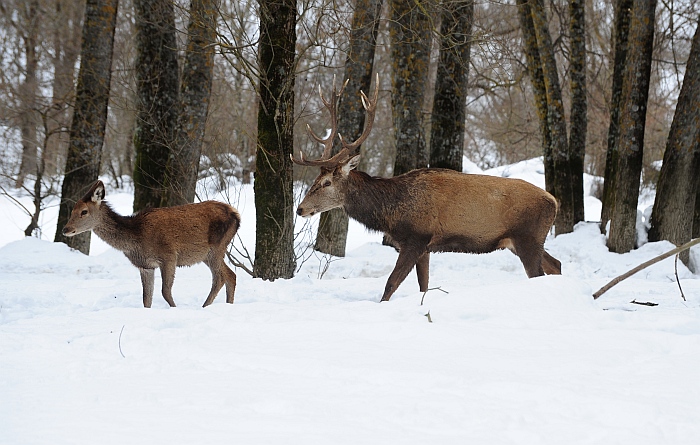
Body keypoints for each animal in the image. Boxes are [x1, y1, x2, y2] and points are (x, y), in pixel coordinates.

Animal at [65, 182, 241, 306]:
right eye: (72, 210)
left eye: (84, 211)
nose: (65, 229)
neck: (136, 239)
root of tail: (236, 215)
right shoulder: (146, 266)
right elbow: (146, 297)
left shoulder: (169, 256)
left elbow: (165, 291)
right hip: (208, 253)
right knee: (231, 275)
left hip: (216, 247)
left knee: (219, 278)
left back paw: (205, 306)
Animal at [292, 76, 560, 300]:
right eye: (316, 180)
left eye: (327, 182)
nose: (300, 209)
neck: (391, 213)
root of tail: (554, 202)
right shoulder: (426, 247)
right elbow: (424, 285)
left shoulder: (416, 238)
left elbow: (391, 284)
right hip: (524, 241)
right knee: (556, 265)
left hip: (528, 237)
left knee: (540, 273)